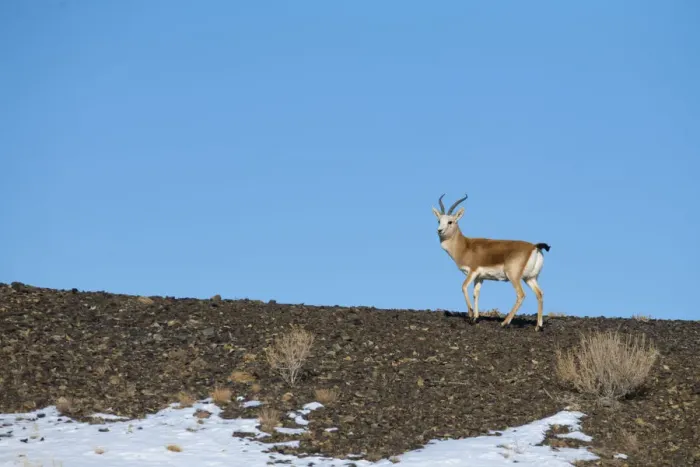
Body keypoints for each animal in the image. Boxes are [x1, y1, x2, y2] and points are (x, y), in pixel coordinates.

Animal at [432, 194, 551, 331]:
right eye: (439, 221)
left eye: (450, 221)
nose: (439, 230)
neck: (465, 247)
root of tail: (534, 247)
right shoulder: (480, 277)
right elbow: (476, 293)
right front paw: (476, 318)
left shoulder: (472, 272)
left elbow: (464, 287)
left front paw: (471, 315)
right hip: (530, 278)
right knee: (540, 294)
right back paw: (538, 326)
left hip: (514, 277)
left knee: (521, 295)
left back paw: (505, 323)